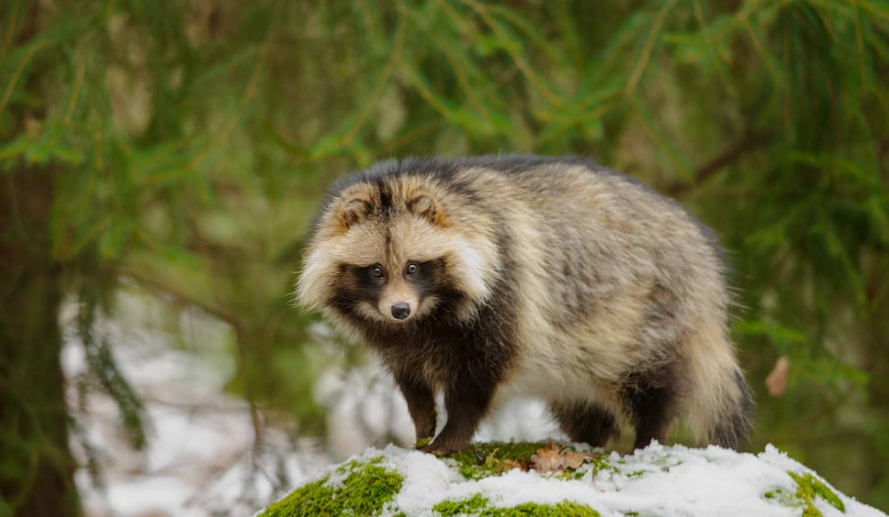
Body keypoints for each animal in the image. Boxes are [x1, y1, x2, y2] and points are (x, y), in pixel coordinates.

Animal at [297, 155, 754, 455]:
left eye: (412, 267)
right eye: (376, 271)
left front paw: (451, 435)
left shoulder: (505, 291)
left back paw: (647, 437)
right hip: (582, 355)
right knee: (582, 404)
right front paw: (423, 422)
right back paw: (589, 438)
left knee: (654, 385)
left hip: (650, 314)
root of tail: (705, 259)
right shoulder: (396, 338)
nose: (399, 310)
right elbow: (411, 380)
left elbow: (479, 378)